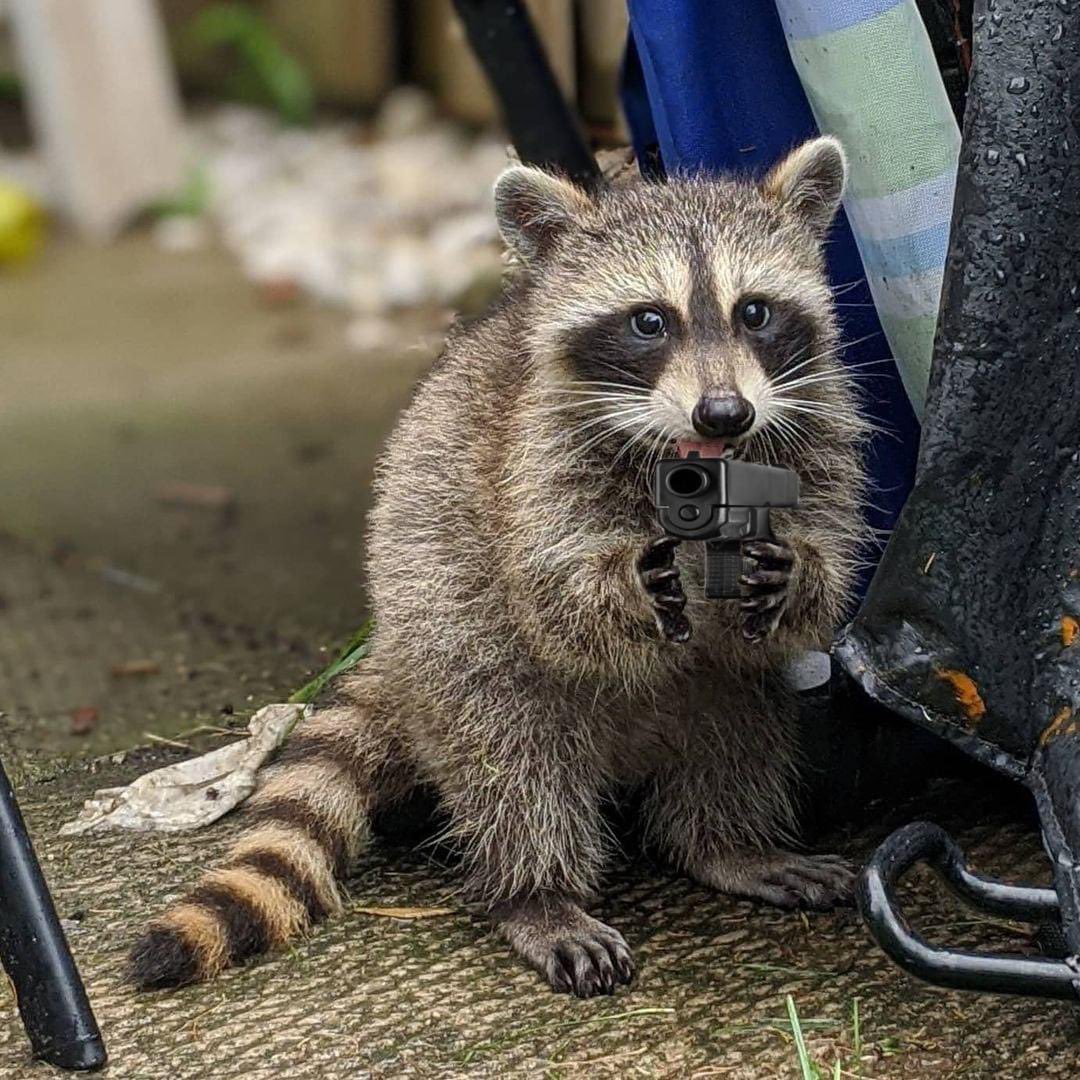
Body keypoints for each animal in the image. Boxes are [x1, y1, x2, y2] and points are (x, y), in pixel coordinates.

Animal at [129, 137, 868, 999]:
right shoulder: (529, 467)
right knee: (511, 757)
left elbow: (823, 565)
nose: (724, 413)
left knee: (736, 718)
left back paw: (726, 844)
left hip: (696, 693)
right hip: (449, 634)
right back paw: (536, 892)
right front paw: (621, 588)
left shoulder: (814, 430)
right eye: (650, 321)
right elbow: (554, 606)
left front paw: (799, 572)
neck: (696, 467)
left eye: (754, 311)